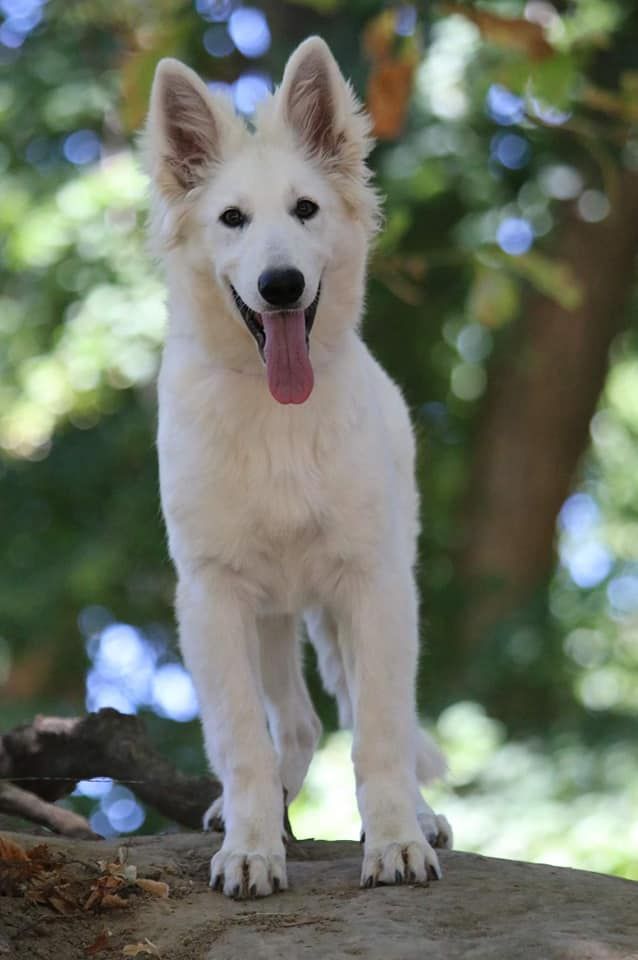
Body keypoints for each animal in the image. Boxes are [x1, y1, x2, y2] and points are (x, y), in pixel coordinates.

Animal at [148, 31, 452, 900]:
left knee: (359, 713)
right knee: (298, 720)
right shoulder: (212, 594)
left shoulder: (372, 584)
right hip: (273, 611)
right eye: (232, 219)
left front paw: (396, 841)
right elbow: (241, 738)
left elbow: (380, 729)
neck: (274, 415)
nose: (280, 286)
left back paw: (419, 817)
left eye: (306, 210)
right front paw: (251, 847)